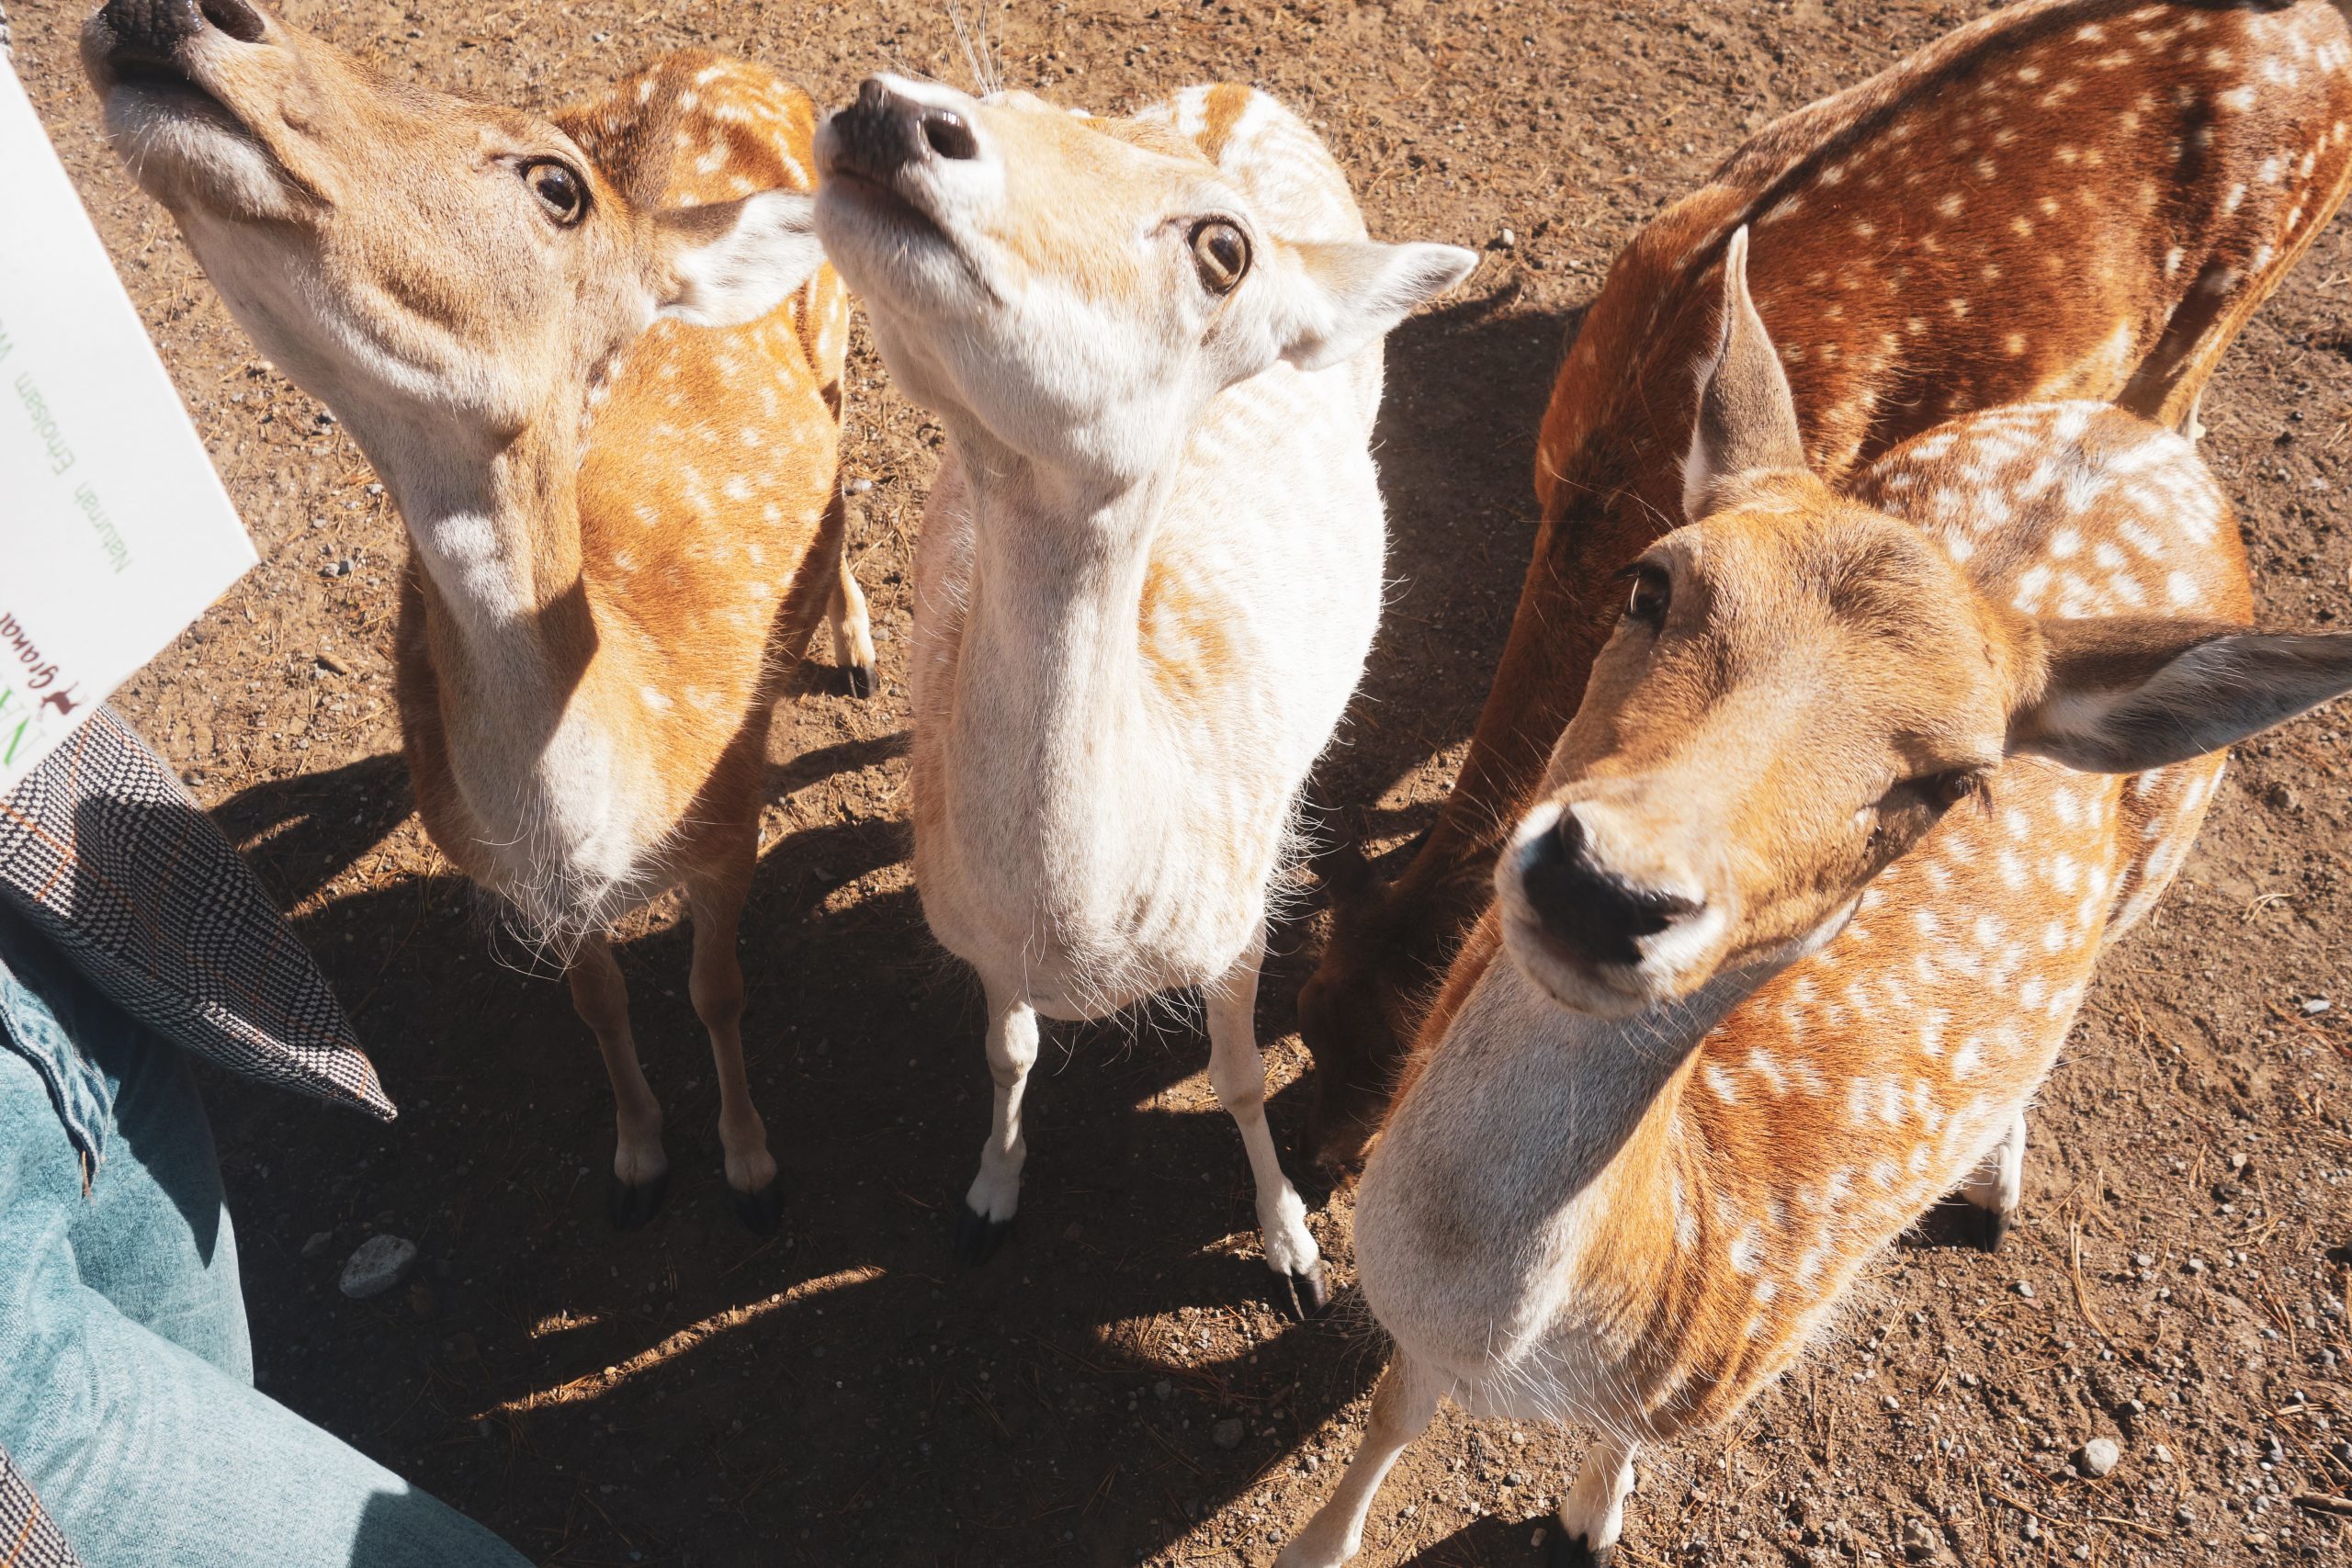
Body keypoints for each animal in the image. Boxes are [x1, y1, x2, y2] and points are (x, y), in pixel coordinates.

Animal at [83, 0, 879, 1232]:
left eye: (557, 185)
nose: (176, 14)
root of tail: (718, 58)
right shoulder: (526, 894)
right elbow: (598, 1002)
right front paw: (638, 1158)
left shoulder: (731, 818)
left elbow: (717, 991)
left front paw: (751, 1165)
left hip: (841, 342)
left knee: (846, 472)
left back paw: (851, 641)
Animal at [1279, 230, 2352, 1568]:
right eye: (1651, 581)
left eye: (1952, 780)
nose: (1606, 884)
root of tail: (2140, 433)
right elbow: (1393, 1412)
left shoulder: (1734, 1365)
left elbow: (1623, 1447)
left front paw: (1590, 1514)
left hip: (2152, 874)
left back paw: (1994, 1179)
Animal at [1298, 0, 2352, 1170]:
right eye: (1309, 1015)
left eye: (1383, 1090)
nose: (1308, 1163)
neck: (1626, 437)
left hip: (2241, 283)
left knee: (2177, 402)